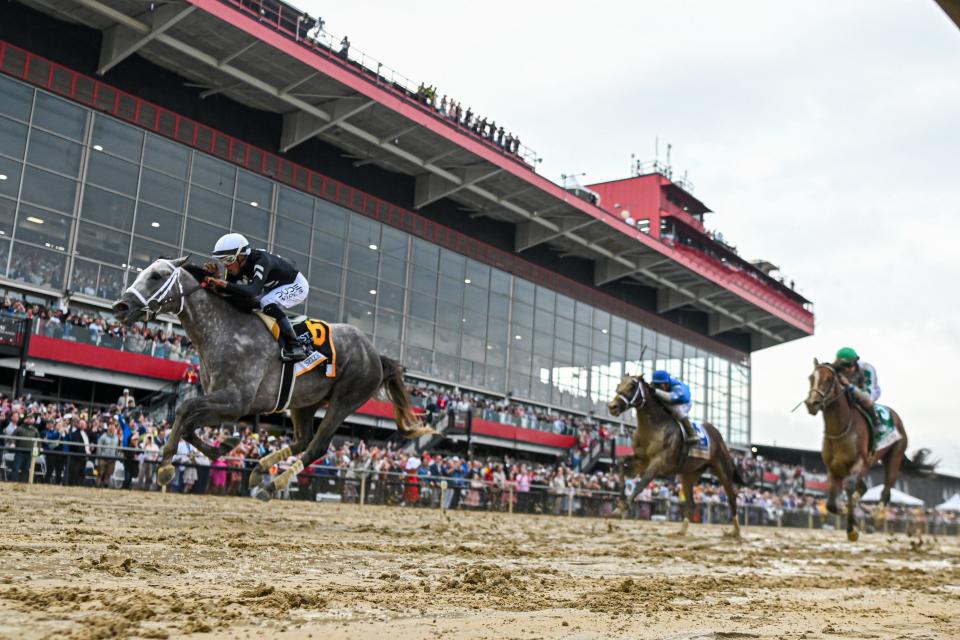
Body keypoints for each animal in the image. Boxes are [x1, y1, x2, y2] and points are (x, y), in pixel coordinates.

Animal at [109, 258, 436, 502]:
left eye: (157, 275)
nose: (120, 307)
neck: (224, 331)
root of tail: (375, 354)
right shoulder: (224, 403)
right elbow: (188, 423)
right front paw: (224, 446)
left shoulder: (236, 402)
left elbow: (183, 409)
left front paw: (165, 466)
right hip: (304, 401)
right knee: (303, 438)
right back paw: (259, 471)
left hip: (345, 400)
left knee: (318, 446)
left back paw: (273, 484)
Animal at [608, 372, 744, 536]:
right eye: (618, 385)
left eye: (632, 386)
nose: (612, 407)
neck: (654, 426)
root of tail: (717, 435)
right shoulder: (642, 460)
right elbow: (621, 463)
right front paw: (619, 504)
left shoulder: (658, 463)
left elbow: (641, 483)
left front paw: (623, 508)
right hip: (688, 475)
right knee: (691, 503)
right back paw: (682, 531)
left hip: (723, 471)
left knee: (732, 498)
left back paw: (736, 532)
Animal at [808, 360, 932, 540]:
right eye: (811, 377)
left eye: (829, 379)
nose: (812, 403)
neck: (841, 429)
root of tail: (897, 418)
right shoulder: (834, 467)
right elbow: (831, 504)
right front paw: (844, 510)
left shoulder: (860, 462)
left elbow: (849, 487)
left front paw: (852, 529)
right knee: (864, 488)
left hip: (893, 457)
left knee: (886, 491)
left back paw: (876, 517)